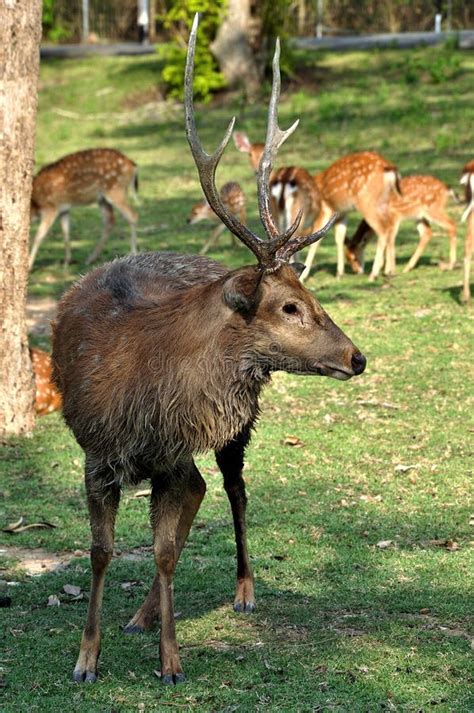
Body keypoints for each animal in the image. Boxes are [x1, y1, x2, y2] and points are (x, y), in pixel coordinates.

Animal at [51, 15, 364, 684]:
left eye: (311, 293)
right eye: (289, 305)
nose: (357, 357)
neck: (142, 389)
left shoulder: (169, 454)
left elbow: (166, 549)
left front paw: (170, 661)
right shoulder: (97, 453)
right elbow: (100, 552)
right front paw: (87, 658)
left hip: (235, 426)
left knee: (231, 489)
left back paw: (241, 590)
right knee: (198, 495)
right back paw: (142, 615)